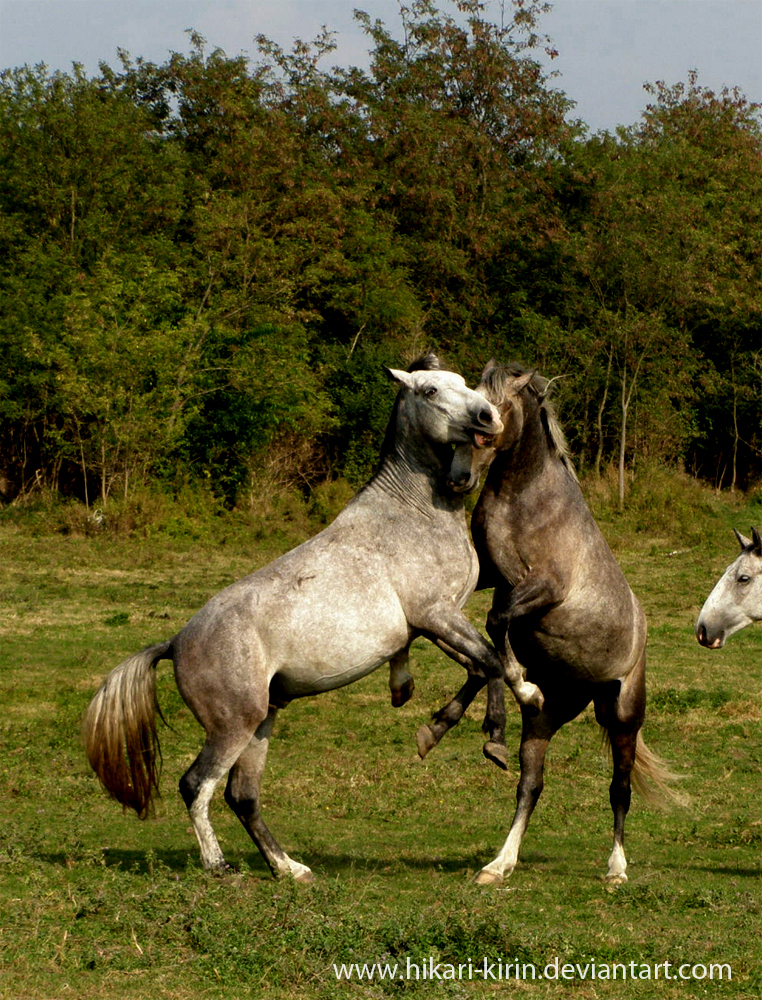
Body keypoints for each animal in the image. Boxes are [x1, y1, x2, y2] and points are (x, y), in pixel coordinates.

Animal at [86, 358, 544, 884]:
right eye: (430, 390)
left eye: (466, 383)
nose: (488, 417)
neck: (411, 515)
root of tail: (176, 642)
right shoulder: (437, 613)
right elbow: (490, 661)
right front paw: (496, 738)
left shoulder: (435, 623)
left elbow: (483, 664)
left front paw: (450, 712)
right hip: (233, 726)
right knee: (195, 785)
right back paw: (220, 866)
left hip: (262, 722)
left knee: (242, 796)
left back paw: (289, 869)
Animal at [418, 364, 672, 888]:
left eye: (487, 417)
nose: (459, 479)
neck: (525, 501)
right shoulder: (491, 576)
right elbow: (477, 629)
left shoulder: (544, 587)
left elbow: (496, 623)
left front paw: (519, 684)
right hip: (551, 715)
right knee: (530, 784)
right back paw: (498, 863)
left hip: (621, 715)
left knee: (619, 788)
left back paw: (616, 869)